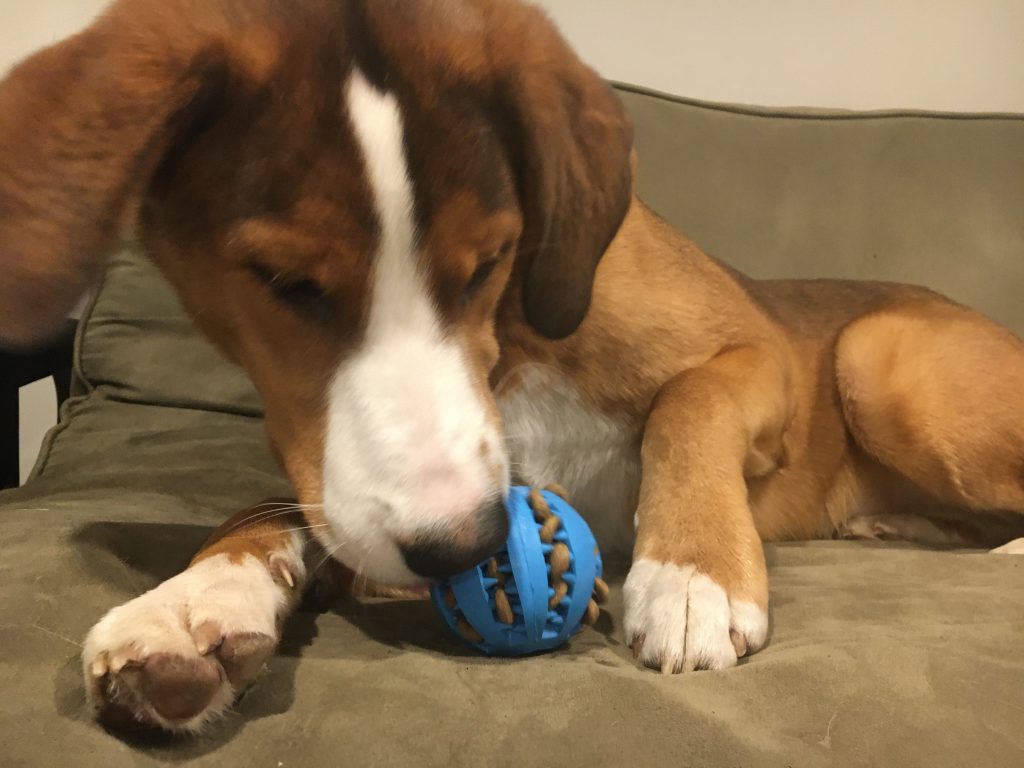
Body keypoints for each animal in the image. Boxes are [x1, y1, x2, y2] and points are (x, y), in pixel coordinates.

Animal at [2, 0, 1024, 733]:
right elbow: (261, 517)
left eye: (491, 260)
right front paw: (190, 605)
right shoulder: (347, 488)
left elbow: (685, 402)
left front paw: (690, 575)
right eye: (285, 284)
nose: (463, 547)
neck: (511, 350)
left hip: (877, 357)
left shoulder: (756, 350)